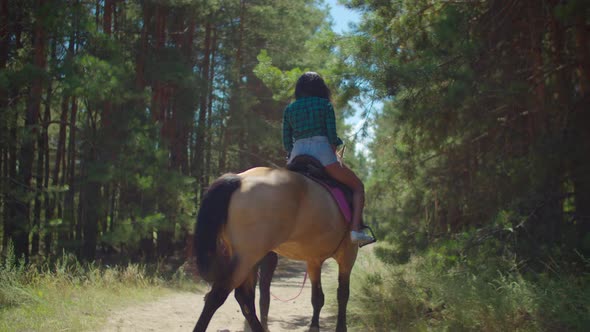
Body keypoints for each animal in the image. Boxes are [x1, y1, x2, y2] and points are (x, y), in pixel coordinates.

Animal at [197, 167, 358, 332]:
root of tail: (239, 179)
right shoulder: (348, 255)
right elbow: (343, 294)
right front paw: (341, 328)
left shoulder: (314, 260)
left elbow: (318, 297)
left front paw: (314, 327)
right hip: (247, 258)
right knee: (218, 296)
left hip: (245, 258)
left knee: (244, 298)